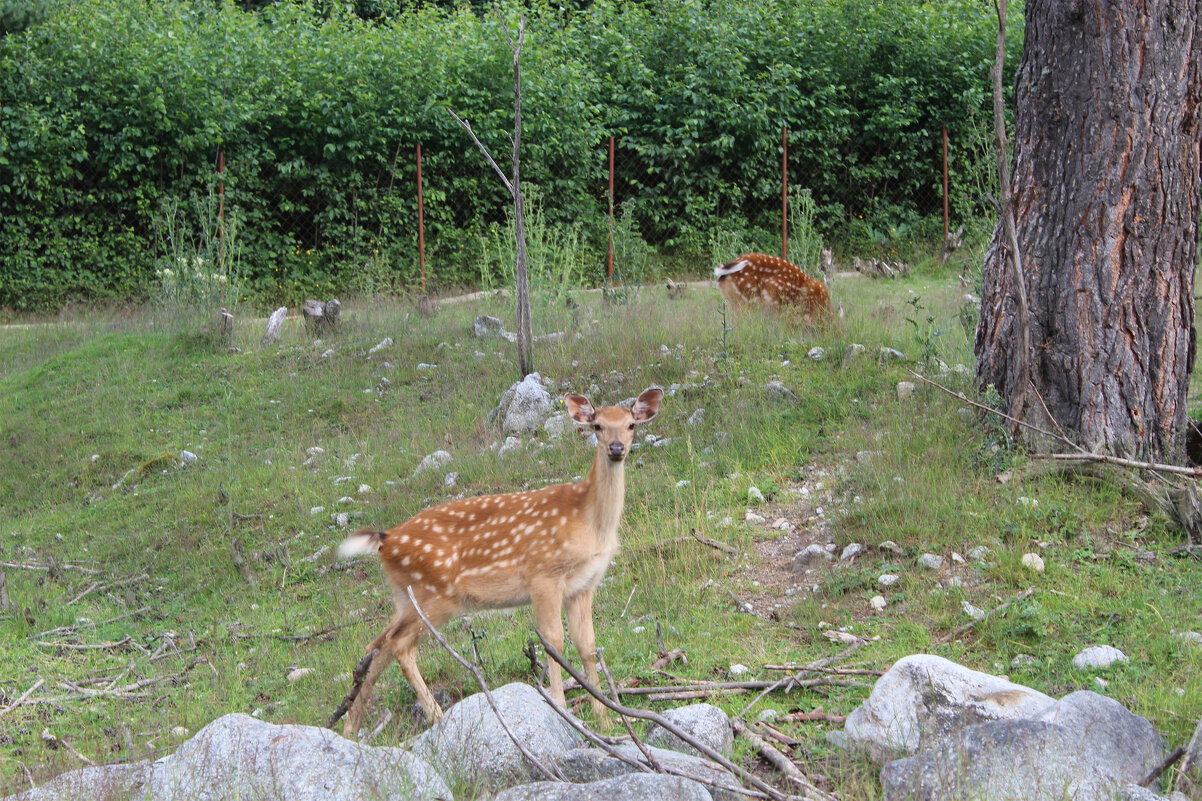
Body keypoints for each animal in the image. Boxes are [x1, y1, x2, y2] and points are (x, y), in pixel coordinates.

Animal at [334, 384, 663, 731]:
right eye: (597, 426)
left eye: (631, 425)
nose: (616, 448)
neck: (588, 521)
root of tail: (385, 540)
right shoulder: (542, 574)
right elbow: (554, 642)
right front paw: (560, 706)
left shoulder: (584, 585)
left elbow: (587, 646)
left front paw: (605, 719)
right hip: (435, 594)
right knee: (398, 644)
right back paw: (436, 716)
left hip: (405, 596)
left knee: (376, 645)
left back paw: (351, 728)